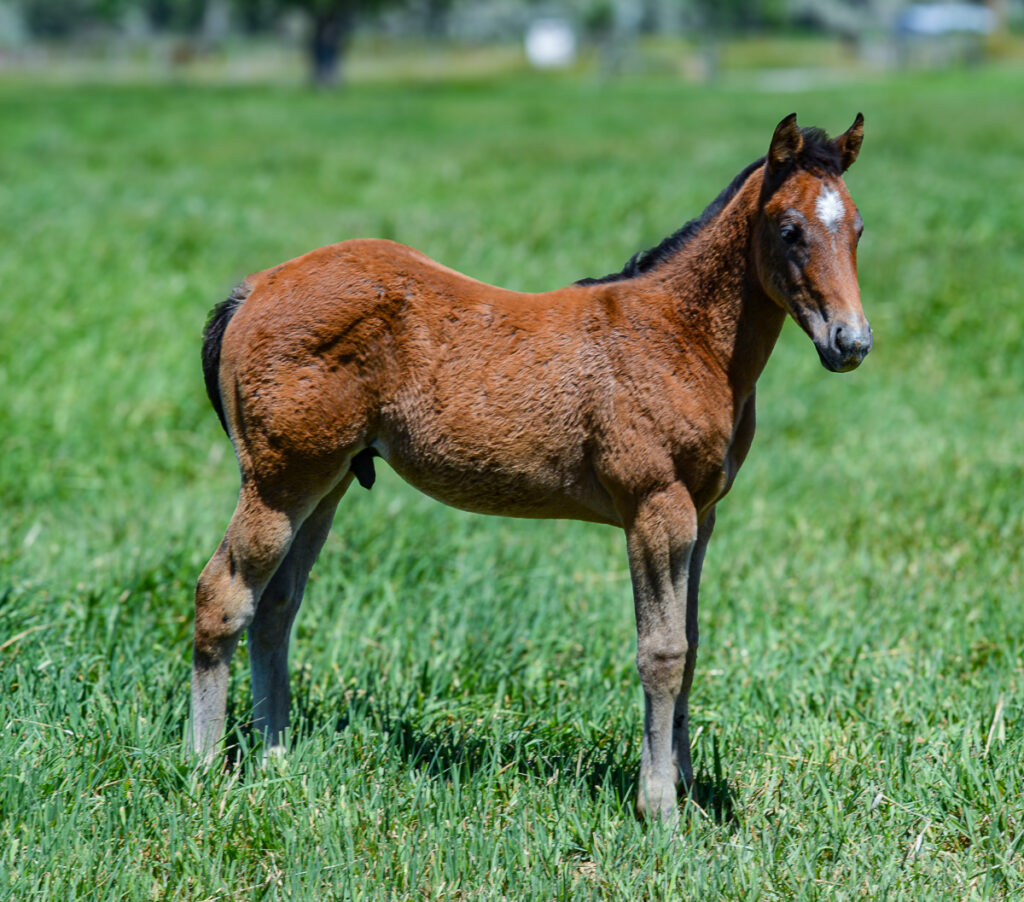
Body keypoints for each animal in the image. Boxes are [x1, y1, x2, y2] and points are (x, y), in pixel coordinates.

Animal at [193, 112, 872, 814]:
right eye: (789, 230)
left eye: (857, 228)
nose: (850, 343)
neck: (683, 338)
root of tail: (255, 288)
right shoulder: (655, 507)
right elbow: (661, 652)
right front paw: (658, 804)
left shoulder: (702, 515)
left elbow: (690, 644)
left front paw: (683, 783)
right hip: (279, 481)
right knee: (223, 596)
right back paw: (205, 768)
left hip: (324, 484)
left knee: (275, 608)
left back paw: (276, 758)